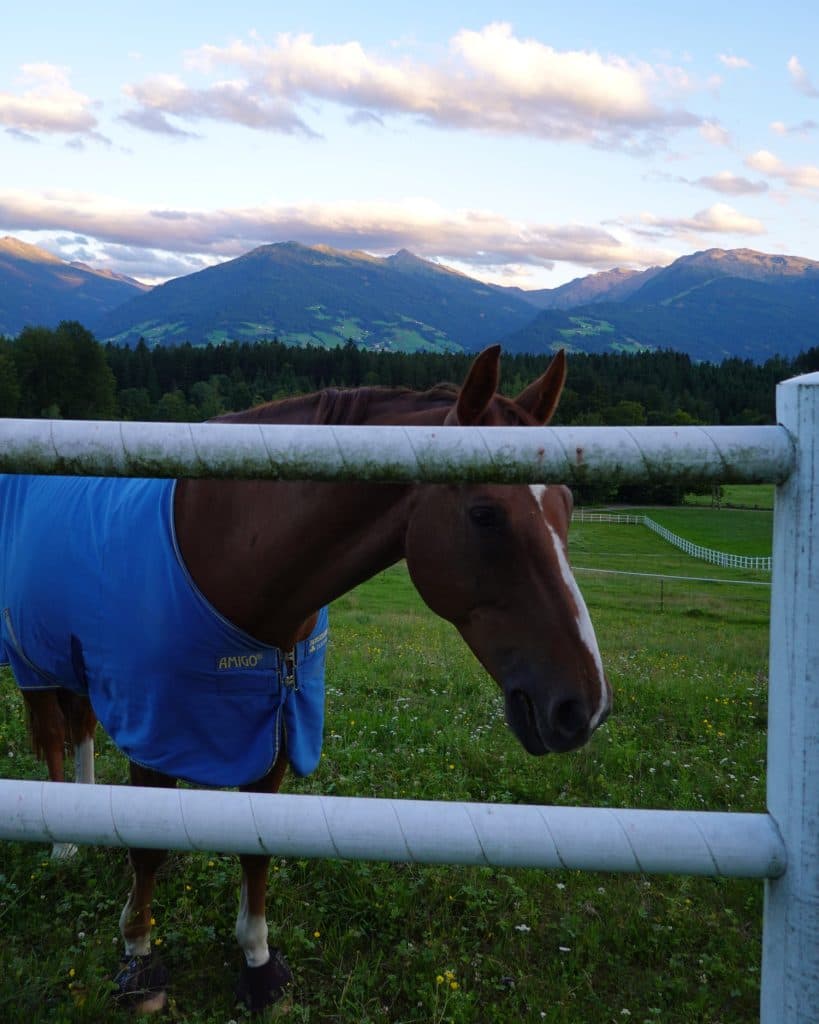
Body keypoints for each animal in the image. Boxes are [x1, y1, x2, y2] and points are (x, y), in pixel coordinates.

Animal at [1, 344, 611, 1014]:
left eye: (568, 503)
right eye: (484, 514)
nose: (581, 706)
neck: (227, 551)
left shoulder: (275, 722)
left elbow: (257, 845)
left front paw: (258, 963)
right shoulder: (153, 727)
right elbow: (149, 847)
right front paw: (139, 959)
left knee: (80, 725)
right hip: (32, 658)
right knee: (54, 734)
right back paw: (64, 843)